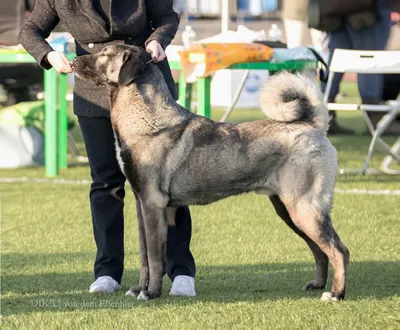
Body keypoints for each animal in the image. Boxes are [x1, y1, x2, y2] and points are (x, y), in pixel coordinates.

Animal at [74, 43, 350, 302]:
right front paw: (140, 289)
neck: (146, 118)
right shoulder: (142, 205)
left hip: (303, 207)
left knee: (339, 250)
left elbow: (154, 257)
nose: (75, 60)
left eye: (105, 54)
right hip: (289, 210)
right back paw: (318, 285)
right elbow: (144, 256)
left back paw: (336, 294)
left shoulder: (153, 205)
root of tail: (313, 126)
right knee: (320, 250)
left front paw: (151, 293)